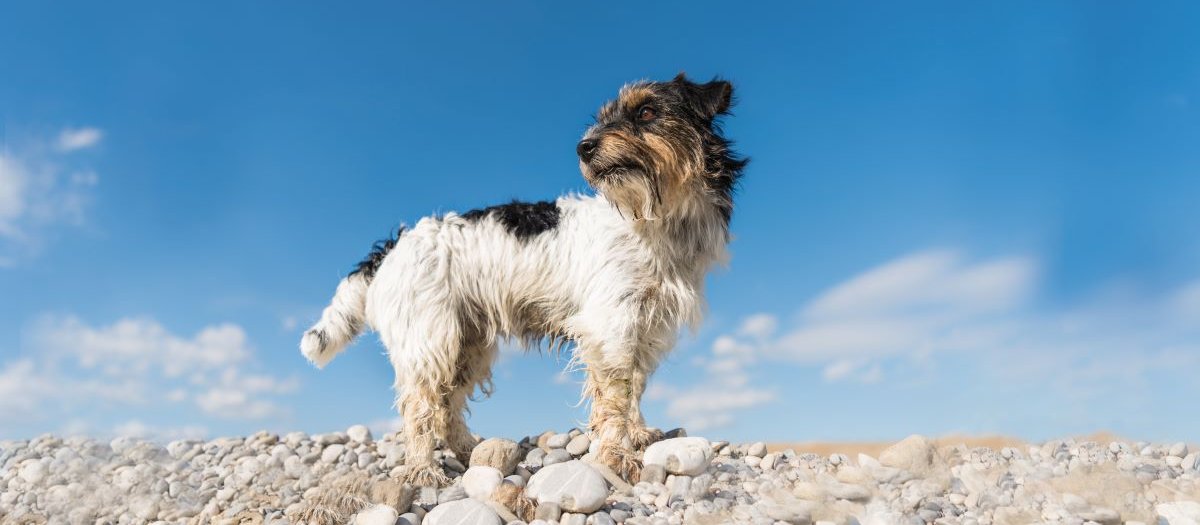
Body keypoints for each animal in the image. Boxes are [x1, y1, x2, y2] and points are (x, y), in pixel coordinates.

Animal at [300, 73, 744, 489]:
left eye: (647, 112)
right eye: (603, 118)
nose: (583, 147)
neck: (655, 219)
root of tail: (391, 246)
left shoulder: (645, 326)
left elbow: (633, 386)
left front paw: (637, 435)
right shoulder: (610, 326)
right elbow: (615, 397)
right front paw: (617, 455)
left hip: (469, 346)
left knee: (447, 407)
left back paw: (471, 450)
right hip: (431, 343)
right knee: (421, 409)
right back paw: (423, 470)